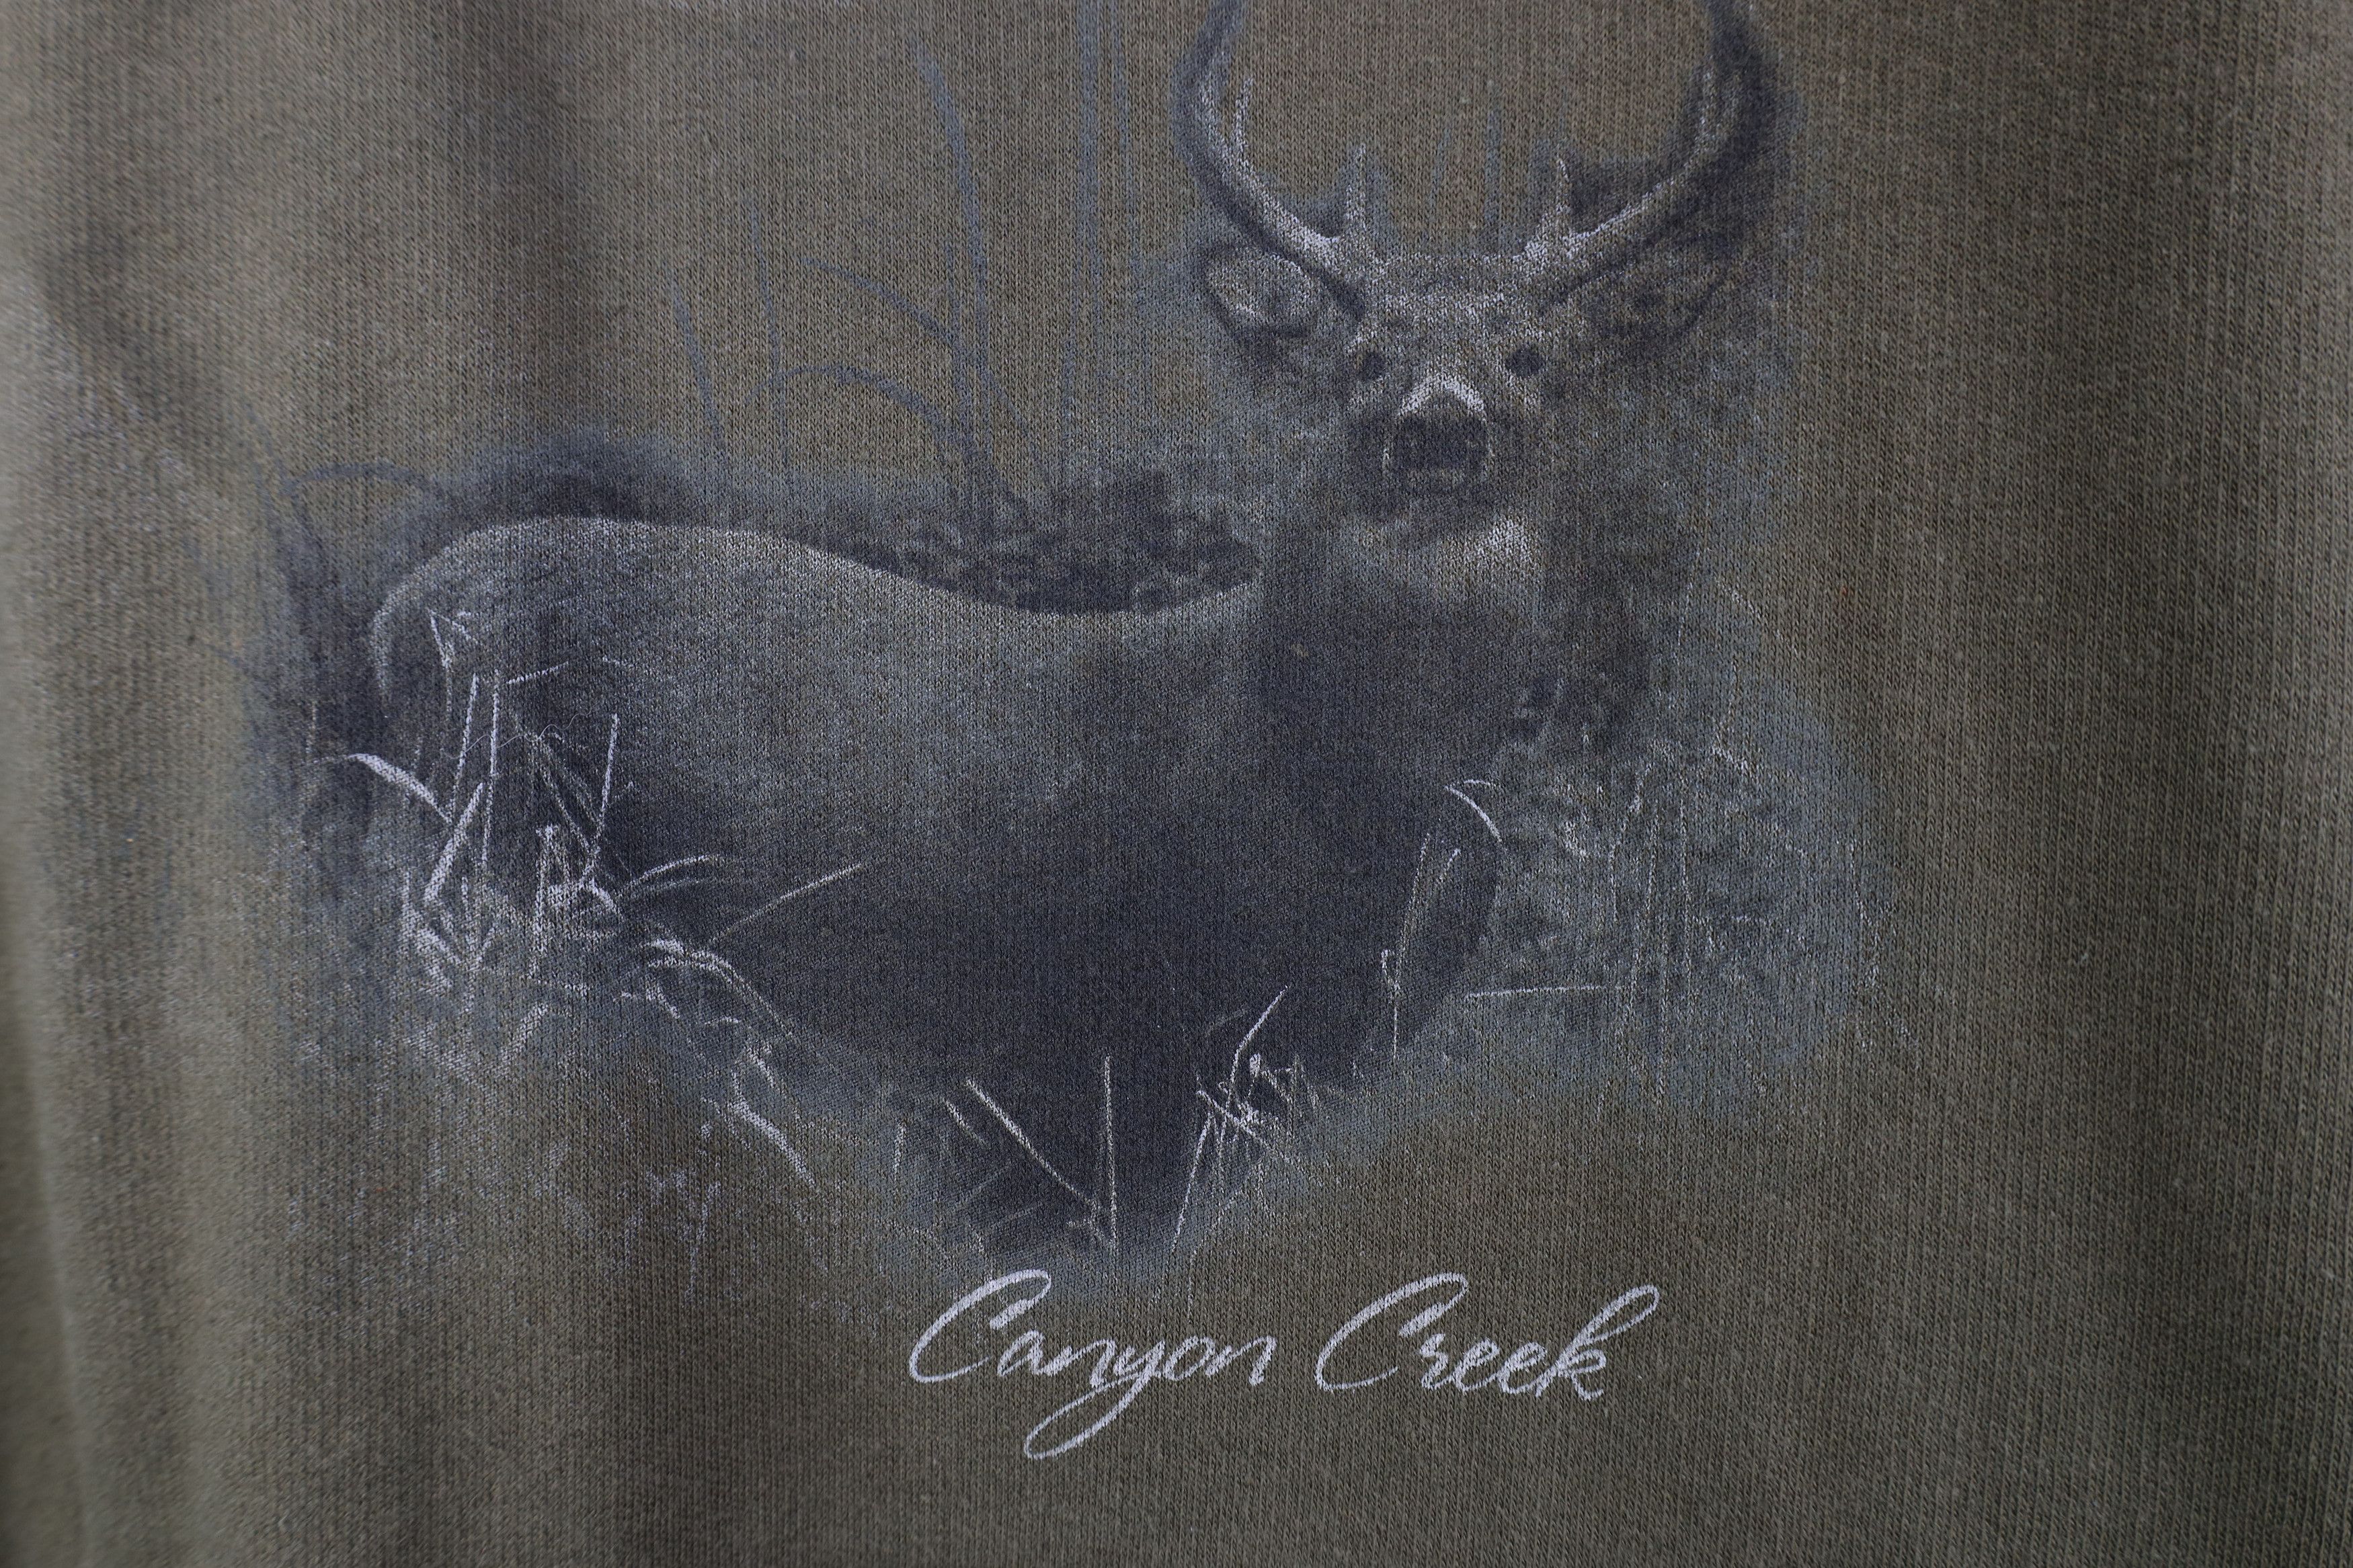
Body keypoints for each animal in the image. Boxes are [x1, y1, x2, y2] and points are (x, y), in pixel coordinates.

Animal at [368, 0, 1773, 1245]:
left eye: (1532, 355)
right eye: (1360, 355)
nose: (1439, 425)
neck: (1339, 778)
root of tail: (401, 608)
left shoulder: (1323, 1048)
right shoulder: (1114, 1035)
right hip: (490, 844)